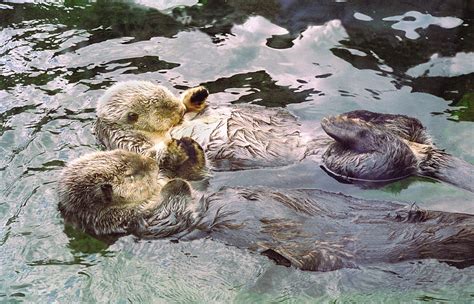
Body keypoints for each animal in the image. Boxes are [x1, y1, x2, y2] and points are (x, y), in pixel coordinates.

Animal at [58, 150, 474, 270]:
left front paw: (182, 162)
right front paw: (174, 183)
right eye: (130, 170)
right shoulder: (141, 222)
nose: (150, 162)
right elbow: (169, 213)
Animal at [94, 79, 472, 191]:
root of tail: (423, 154)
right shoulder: (132, 146)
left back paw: (352, 118)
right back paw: (341, 126)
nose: (175, 105)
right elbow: (175, 164)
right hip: (348, 164)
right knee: (393, 157)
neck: (167, 130)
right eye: (160, 105)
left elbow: (196, 110)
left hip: (407, 130)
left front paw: (196, 96)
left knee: (406, 124)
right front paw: (185, 148)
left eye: (167, 96)